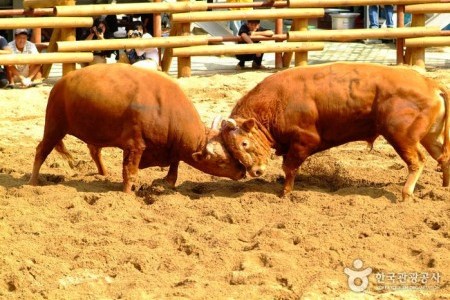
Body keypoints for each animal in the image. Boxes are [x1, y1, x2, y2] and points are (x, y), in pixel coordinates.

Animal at [28, 63, 246, 192]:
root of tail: (60, 84)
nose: (242, 172)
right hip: (55, 127)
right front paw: (127, 194)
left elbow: (174, 166)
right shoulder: (135, 146)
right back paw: (33, 182)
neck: (166, 110)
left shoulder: (170, 149)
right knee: (41, 150)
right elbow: (130, 172)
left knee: (94, 150)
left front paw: (166, 182)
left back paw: (104, 173)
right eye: (221, 162)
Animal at [220, 62, 448, 200]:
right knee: (443, 157)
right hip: (430, 136)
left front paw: (285, 193)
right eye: (232, 150)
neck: (276, 100)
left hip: (401, 137)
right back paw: (445, 187)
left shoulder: (304, 141)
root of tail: (431, 84)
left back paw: (406, 193)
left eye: (244, 143)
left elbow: (289, 168)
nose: (255, 172)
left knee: (417, 162)